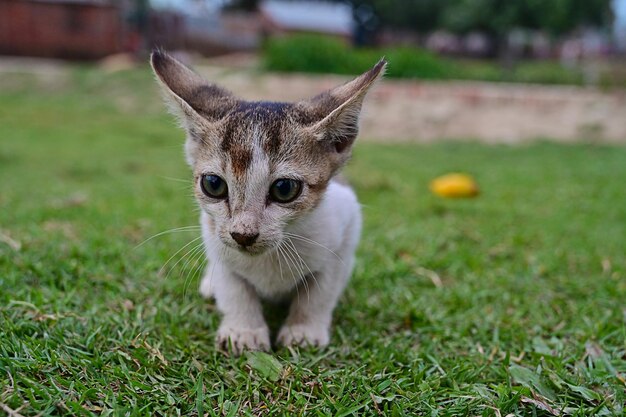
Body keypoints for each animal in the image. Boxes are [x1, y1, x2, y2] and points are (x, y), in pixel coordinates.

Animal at [151, 49, 386, 354]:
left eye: (284, 189)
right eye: (213, 184)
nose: (243, 234)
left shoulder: (345, 229)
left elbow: (321, 291)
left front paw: (303, 330)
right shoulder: (214, 238)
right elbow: (234, 288)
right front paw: (244, 330)